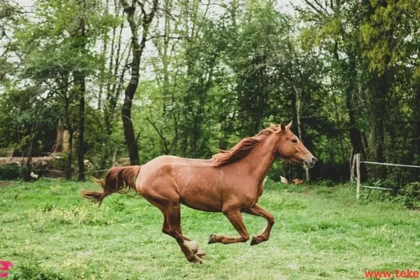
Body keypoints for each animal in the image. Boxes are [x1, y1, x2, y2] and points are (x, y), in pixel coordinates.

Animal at [81, 121, 316, 264]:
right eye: (294, 140)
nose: (312, 160)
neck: (244, 170)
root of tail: (143, 168)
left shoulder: (249, 206)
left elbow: (271, 218)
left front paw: (259, 239)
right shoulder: (231, 210)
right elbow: (243, 235)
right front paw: (215, 238)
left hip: (171, 206)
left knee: (172, 230)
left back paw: (194, 253)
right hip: (171, 203)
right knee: (172, 230)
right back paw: (196, 252)